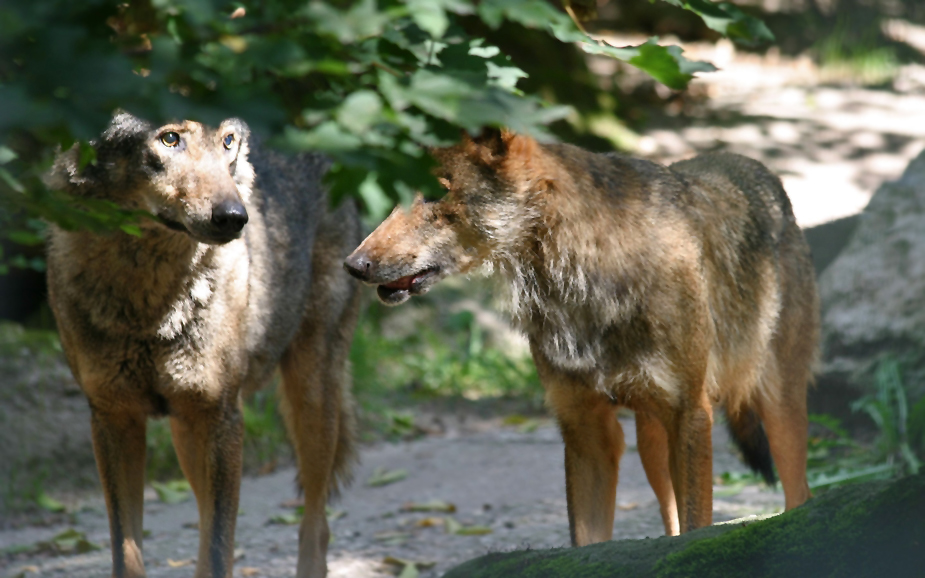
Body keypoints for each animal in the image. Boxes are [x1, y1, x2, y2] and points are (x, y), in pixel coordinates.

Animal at [46, 113, 360, 576]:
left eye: (227, 140)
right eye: (170, 138)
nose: (234, 217)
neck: (150, 309)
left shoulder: (221, 416)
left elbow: (217, 549)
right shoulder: (113, 418)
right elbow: (127, 553)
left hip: (309, 395)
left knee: (315, 524)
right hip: (186, 429)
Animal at [344, 128, 816, 544]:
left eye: (433, 190)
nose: (353, 265)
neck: (578, 289)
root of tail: (755, 167)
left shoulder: (691, 413)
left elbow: (698, 525)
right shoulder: (585, 429)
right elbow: (587, 541)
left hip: (777, 410)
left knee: (799, 494)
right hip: (651, 442)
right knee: (670, 519)